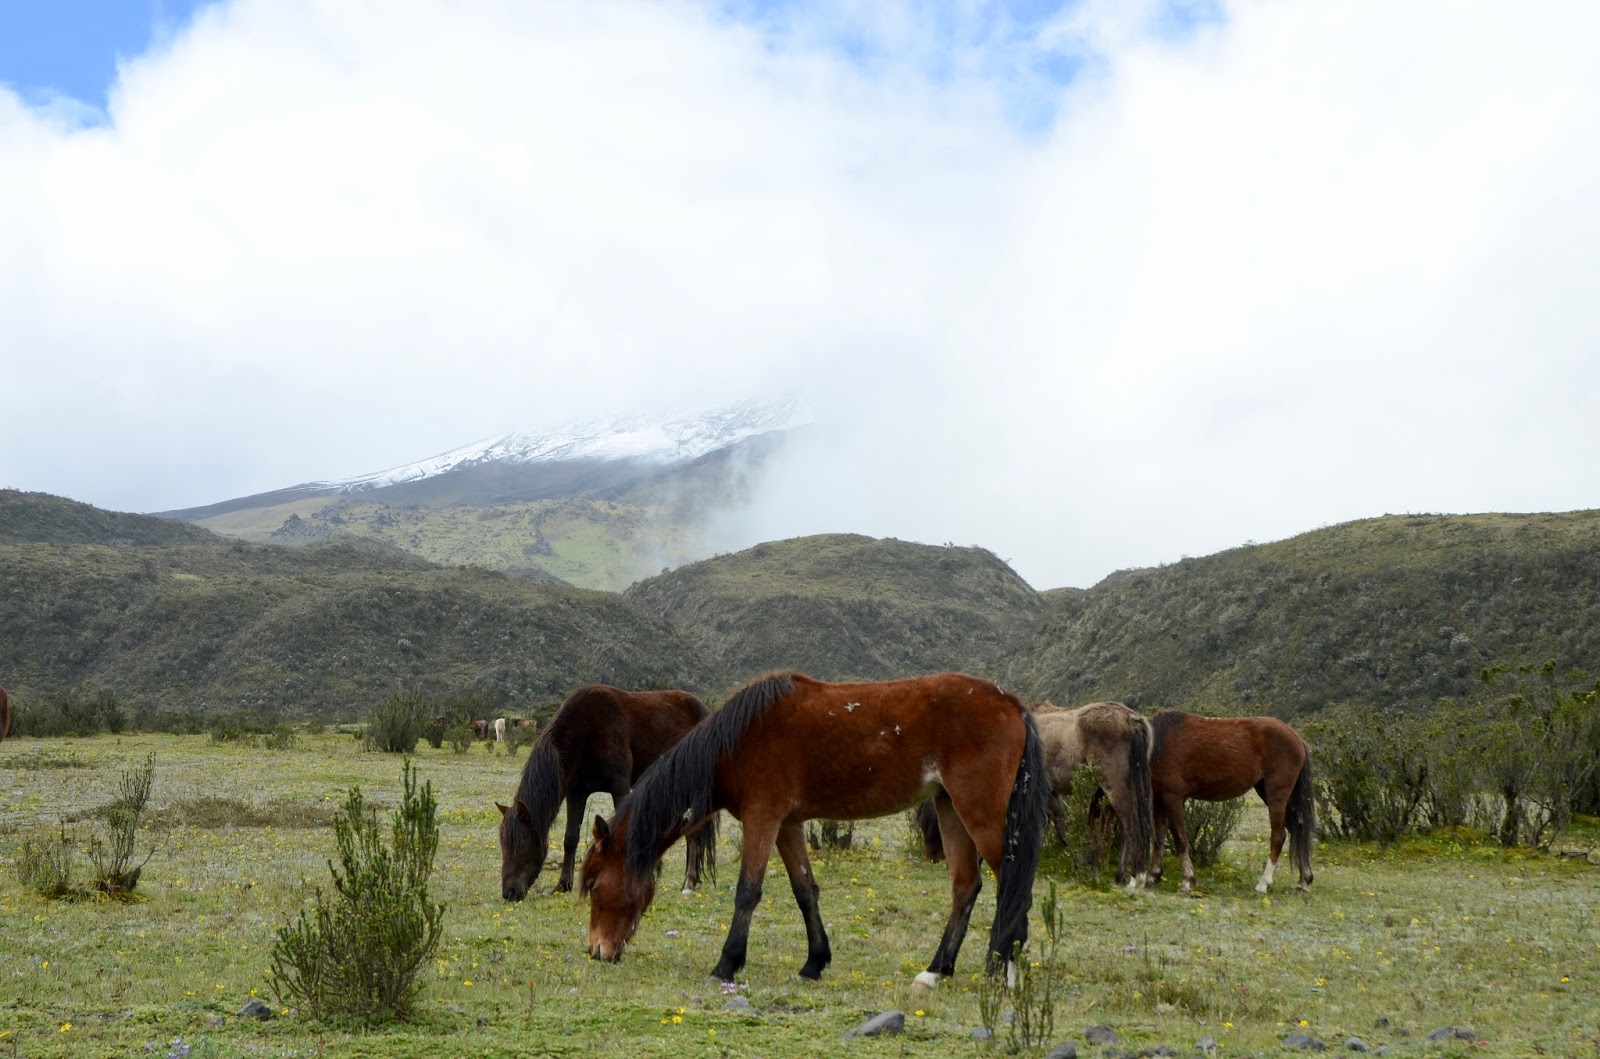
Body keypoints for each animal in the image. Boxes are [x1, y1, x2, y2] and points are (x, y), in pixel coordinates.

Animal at [497, 685, 714, 899]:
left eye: (522, 841)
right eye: (503, 843)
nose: (509, 892)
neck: (584, 733)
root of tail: (704, 712)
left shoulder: (620, 787)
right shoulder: (576, 793)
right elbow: (570, 838)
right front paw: (563, 884)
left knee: (694, 832)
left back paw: (689, 883)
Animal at [579, 671, 1049, 987]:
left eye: (596, 886)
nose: (597, 952)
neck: (738, 740)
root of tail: (1012, 704)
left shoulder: (763, 818)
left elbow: (748, 892)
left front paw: (726, 964)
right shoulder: (787, 825)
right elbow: (805, 890)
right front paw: (814, 962)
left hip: (981, 813)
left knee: (1014, 887)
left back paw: (1004, 972)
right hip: (949, 808)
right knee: (966, 888)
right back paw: (936, 971)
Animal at [915, 699, 1155, 890]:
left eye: (930, 822)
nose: (931, 858)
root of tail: (1131, 718)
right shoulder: (1050, 795)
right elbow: (1057, 829)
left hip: (1115, 788)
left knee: (1131, 827)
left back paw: (1136, 877)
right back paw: (1120, 875)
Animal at [1146, 711, 1314, 894]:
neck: (1157, 744)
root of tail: (1297, 738)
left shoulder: (1173, 798)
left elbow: (1180, 839)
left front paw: (1187, 880)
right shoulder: (1158, 800)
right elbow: (1158, 837)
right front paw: (1153, 875)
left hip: (1277, 796)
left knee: (1279, 836)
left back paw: (1263, 883)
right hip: (1269, 793)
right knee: (1298, 831)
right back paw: (1304, 880)